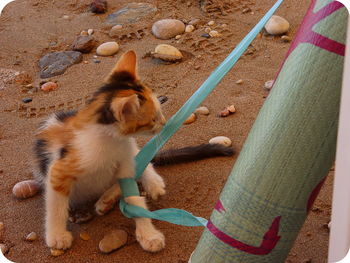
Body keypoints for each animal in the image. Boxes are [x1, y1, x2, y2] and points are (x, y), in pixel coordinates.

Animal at [33, 51, 235, 254]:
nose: (165, 124)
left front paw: (148, 235)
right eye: (153, 119)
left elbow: (135, 198)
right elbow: (56, 206)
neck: (110, 140)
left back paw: (139, 187)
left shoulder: (125, 161)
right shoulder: (59, 169)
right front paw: (57, 236)